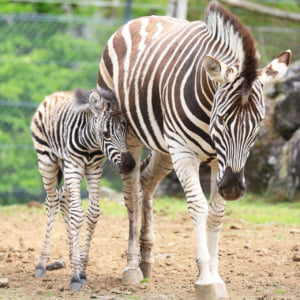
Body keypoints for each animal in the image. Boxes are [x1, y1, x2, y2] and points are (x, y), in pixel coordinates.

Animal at [29, 87, 135, 290]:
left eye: (125, 129)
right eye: (105, 134)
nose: (129, 165)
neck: (90, 144)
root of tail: (53, 95)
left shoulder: (94, 169)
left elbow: (92, 213)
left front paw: (82, 269)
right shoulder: (74, 166)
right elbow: (78, 214)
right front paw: (76, 277)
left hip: (65, 165)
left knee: (63, 198)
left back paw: (72, 256)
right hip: (47, 160)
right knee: (52, 201)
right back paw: (41, 264)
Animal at [97, 2, 292, 300]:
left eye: (259, 123)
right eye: (222, 118)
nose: (233, 188)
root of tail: (141, 19)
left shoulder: (218, 162)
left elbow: (217, 213)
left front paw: (215, 276)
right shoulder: (185, 152)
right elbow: (198, 206)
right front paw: (205, 280)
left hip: (165, 148)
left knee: (146, 181)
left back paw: (146, 259)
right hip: (130, 136)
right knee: (131, 194)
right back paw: (131, 267)